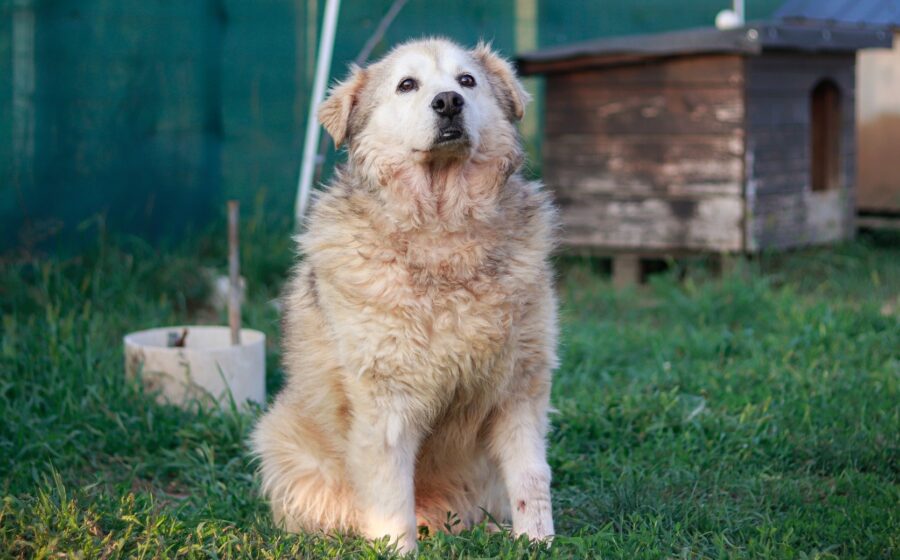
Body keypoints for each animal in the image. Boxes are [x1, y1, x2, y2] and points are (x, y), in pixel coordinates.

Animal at [251, 38, 558, 554]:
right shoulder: (386, 403)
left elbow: (532, 481)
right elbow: (391, 497)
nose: (448, 102)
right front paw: (396, 550)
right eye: (407, 85)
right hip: (280, 436)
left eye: (466, 80)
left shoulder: (521, 389)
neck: (443, 234)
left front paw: (538, 544)